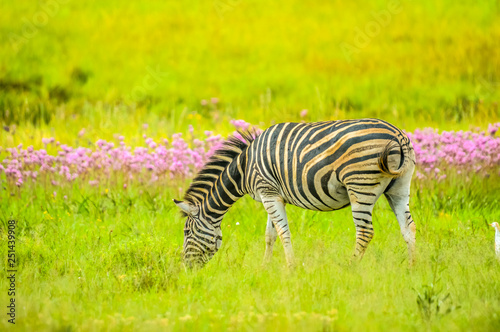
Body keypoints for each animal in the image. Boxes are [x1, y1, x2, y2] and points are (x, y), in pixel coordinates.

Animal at [174, 118, 416, 268]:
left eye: (186, 232)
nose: (186, 269)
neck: (244, 169)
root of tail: (398, 135)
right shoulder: (272, 194)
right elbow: (270, 235)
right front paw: (264, 268)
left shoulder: (268, 192)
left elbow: (283, 233)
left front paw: (290, 268)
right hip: (399, 188)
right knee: (409, 227)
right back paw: (412, 268)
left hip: (360, 186)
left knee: (365, 232)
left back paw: (350, 267)